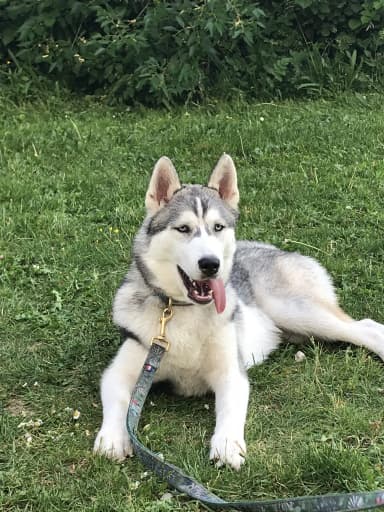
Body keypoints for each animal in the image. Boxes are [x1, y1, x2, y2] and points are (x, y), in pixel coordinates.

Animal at [94, 154, 384, 470]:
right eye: (183, 229)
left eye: (218, 227)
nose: (211, 264)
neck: (184, 312)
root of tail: (273, 248)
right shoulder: (123, 370)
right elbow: (119, 400)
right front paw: (112, 437)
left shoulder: (231, 372)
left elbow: (230, 411)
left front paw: (227, 444)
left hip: (297, 311)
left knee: (366, 327)